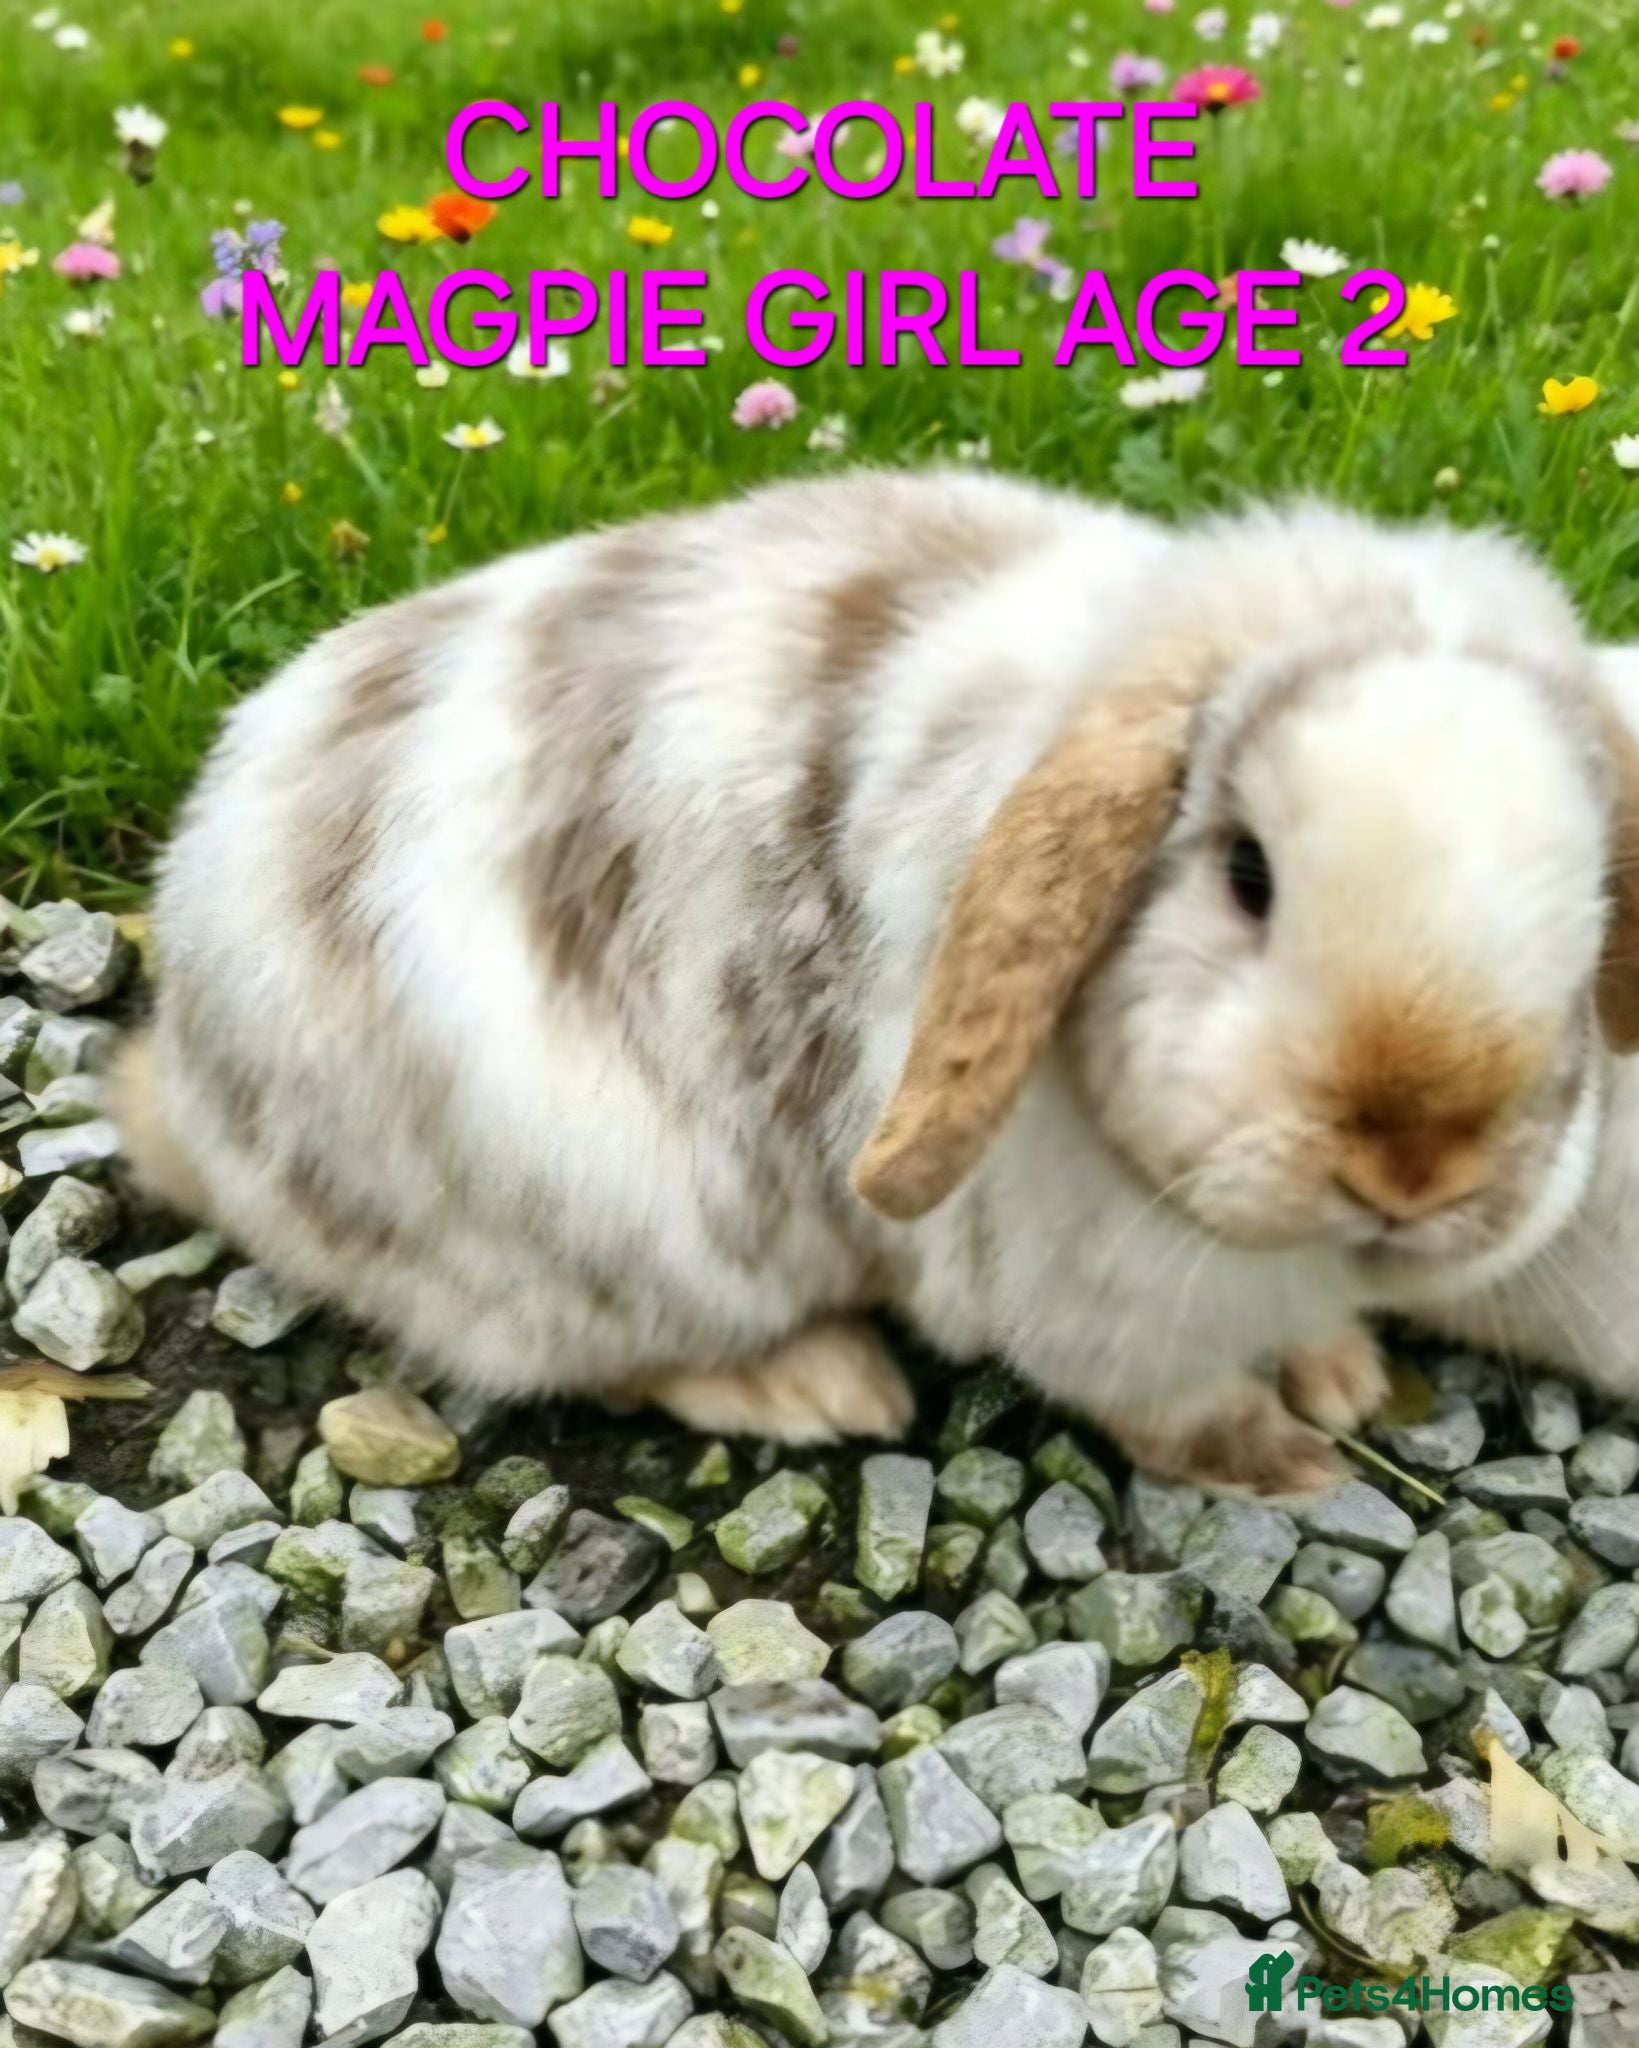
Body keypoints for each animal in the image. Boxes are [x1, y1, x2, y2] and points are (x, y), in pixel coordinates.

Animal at [116, 468, 1639, 1494]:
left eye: (1589, 903)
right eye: (1245, 873)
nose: (1414, 1165)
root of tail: (183, 1081)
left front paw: (1342, 1380)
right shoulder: (1101, 1313)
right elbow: (1175, 1409)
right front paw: (1286, 1461)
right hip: (604, 1245)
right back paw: (818, 1385)